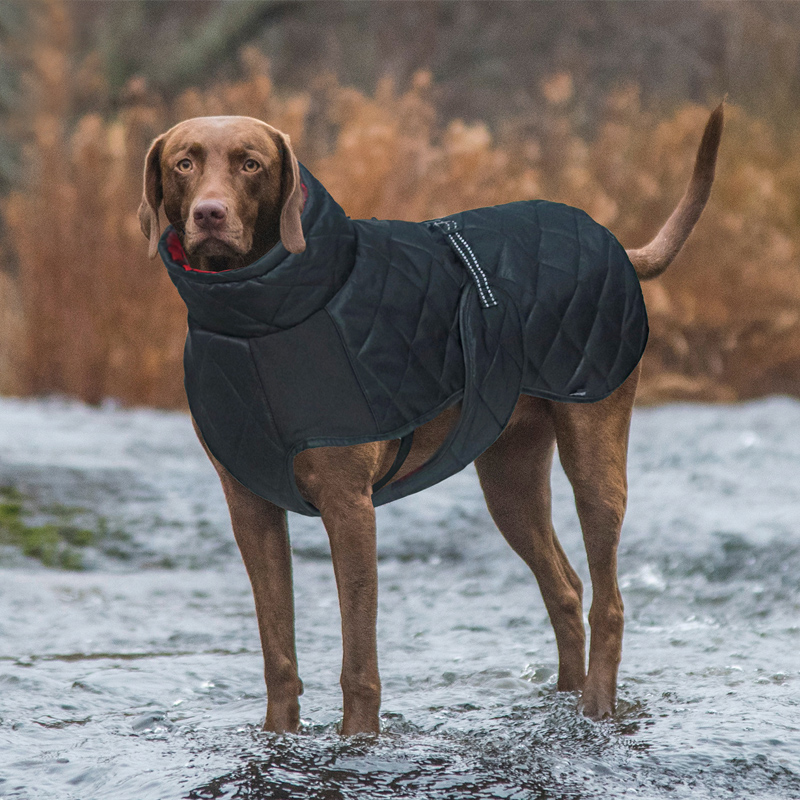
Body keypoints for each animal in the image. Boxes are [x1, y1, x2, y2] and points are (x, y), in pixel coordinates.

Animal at [139, 108, 724, 736]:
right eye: (184, 163)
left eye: (251, 164)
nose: (210, 214)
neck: (254, 323)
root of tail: (613, 241)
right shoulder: (250, 507)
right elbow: (278, 655)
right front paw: (279, 737)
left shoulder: (350, 507)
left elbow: (358, 662)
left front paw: (358, 742)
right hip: (509, 480)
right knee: (564, 590)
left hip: (594, 453)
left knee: (607, 600)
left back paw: (595, 710)